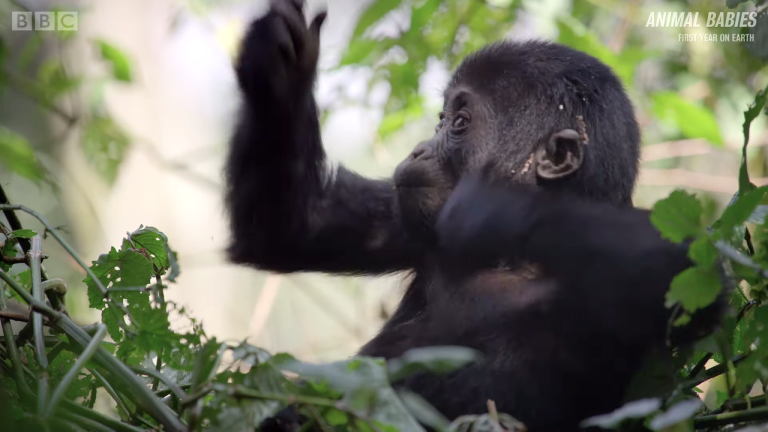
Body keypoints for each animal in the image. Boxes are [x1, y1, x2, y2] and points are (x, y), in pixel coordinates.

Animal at [226, 1, 720, 430]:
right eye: (441, 119)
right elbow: (293, 224)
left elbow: (695, 272)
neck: (513, 262)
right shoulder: (414, 221)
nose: (418, 150)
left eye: (459, 123)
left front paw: (492, 208)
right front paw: (280, 66)